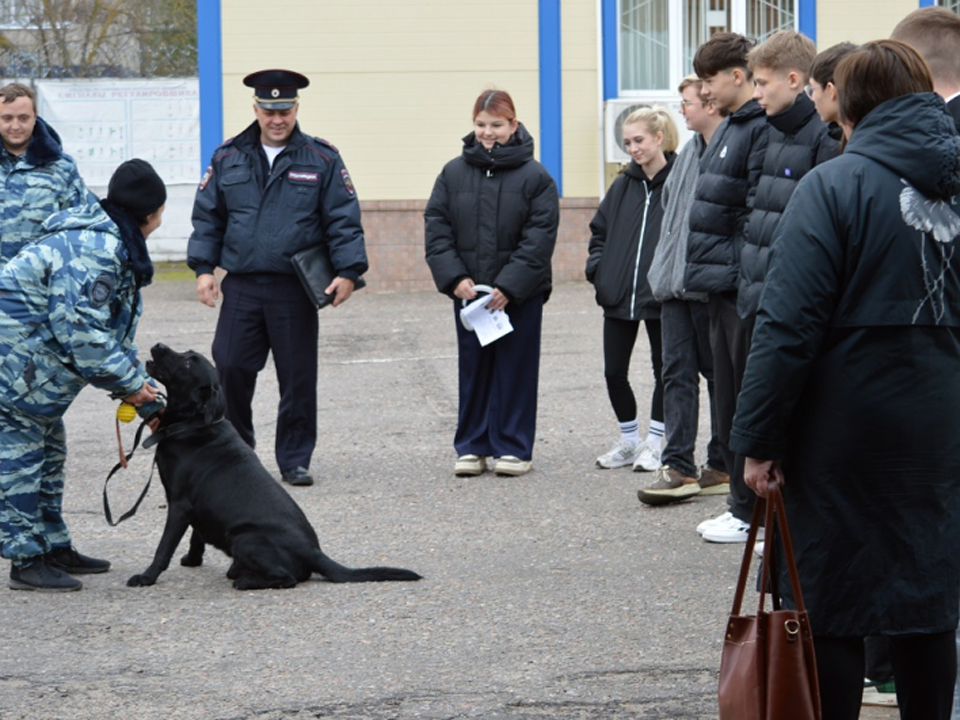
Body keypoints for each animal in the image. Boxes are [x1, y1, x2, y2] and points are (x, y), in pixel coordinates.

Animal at [127, 344, 420, 592]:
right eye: (186, 354)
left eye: (188, 362)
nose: (159, 345)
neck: (193, 424)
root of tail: (314, 552)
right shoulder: (196, 508)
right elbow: (196, 537)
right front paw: (192, 559)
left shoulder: (179, 506)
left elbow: (164, 547)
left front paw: (147, 577)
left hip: (244, 538)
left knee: (287, 578)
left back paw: (244, 580)